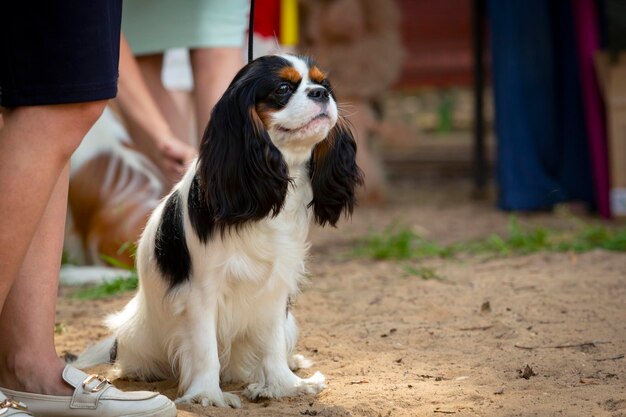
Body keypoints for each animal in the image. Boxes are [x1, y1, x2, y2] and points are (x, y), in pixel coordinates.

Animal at [75, 54, 364, 406]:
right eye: (283, 89)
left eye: (324, 84)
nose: (321, 94)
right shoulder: (202, 293)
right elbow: (205, 350)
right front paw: (208, 395)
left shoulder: (274, 288)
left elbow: (271, 344)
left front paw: (284, 384)